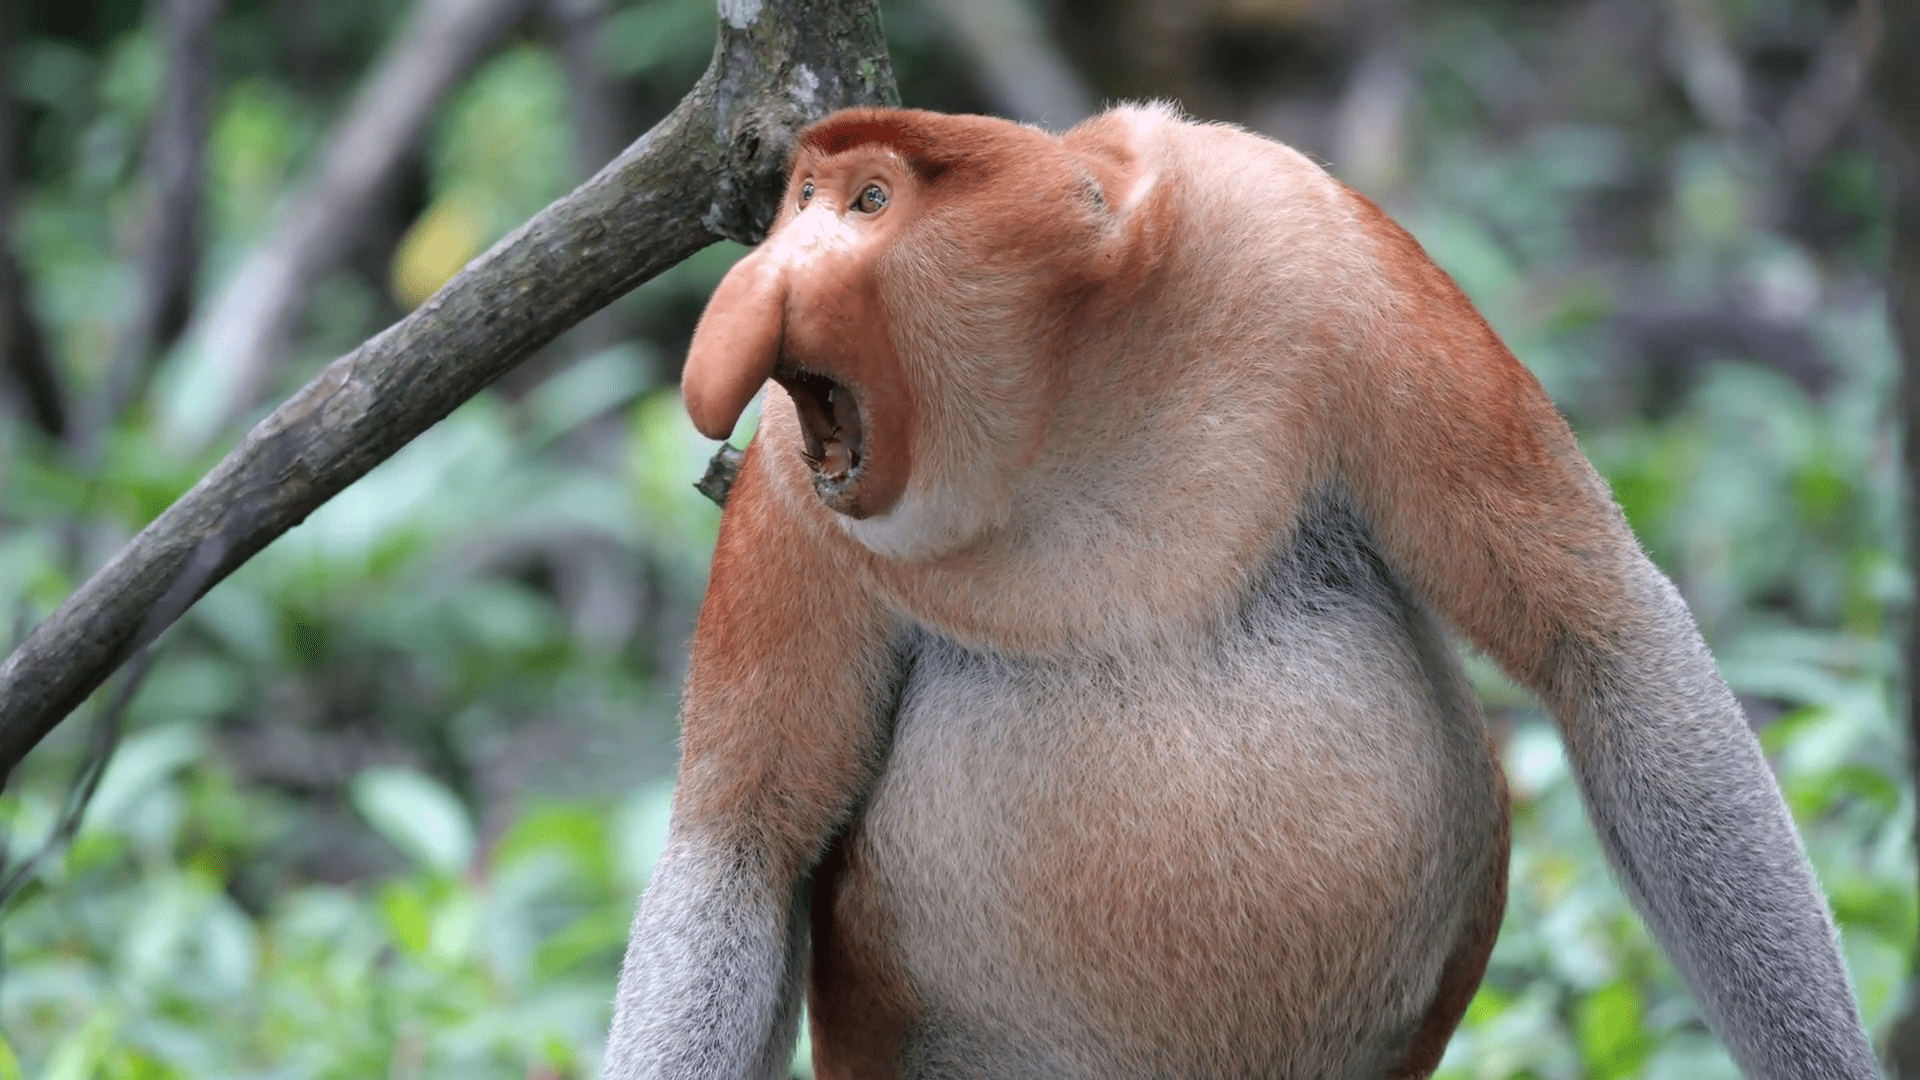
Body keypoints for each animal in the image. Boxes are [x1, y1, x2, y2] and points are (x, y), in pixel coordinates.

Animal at [601, 104, 1880, 1079]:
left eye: (867, 202)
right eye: (797, 203)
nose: (762, 280)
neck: (1057, 406)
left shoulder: (1325, 254)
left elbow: (1603, 642)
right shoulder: (788, 490)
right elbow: (744, 845)